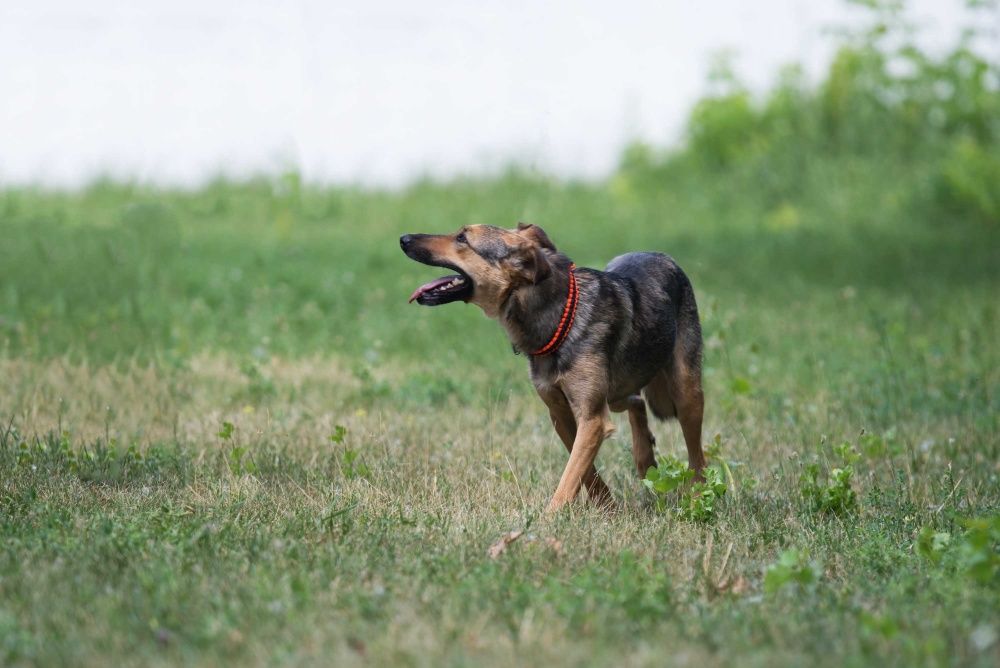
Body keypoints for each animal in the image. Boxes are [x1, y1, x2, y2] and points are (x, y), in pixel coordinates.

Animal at [398, 224, 704, 512]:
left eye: (462, 238)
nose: (403, 238)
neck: (557, 318)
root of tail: (661, 255)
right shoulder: (561, 414)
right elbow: (584, 471)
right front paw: (607, 507)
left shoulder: (591, 418)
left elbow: (570, 476)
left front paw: (547, 520)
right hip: (617, 391)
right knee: (636, 401)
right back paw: (645, 458)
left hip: (686, 393)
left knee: (696, 455)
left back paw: (697, 496)